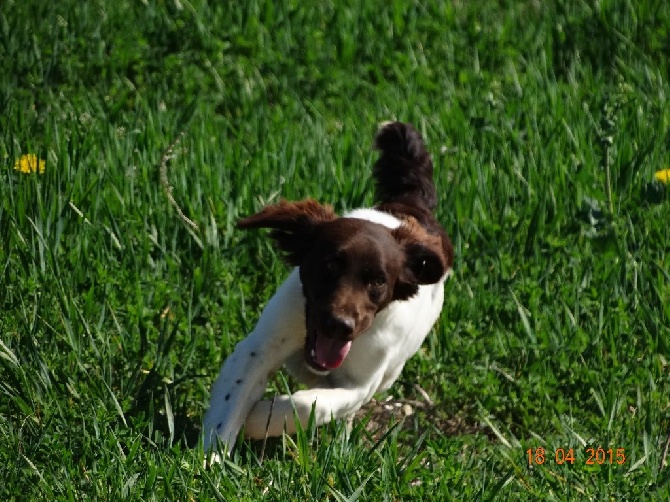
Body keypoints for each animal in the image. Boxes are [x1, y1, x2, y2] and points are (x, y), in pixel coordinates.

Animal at [203, 122, 456, 454]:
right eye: (329, 266)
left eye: (378, 281)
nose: (340, 325)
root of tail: (410, 209)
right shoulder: (256, 348)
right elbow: (230, 403)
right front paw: (210, 459)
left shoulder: (361, 385)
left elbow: (312, 404)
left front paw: (260, 418)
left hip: (391, 370)